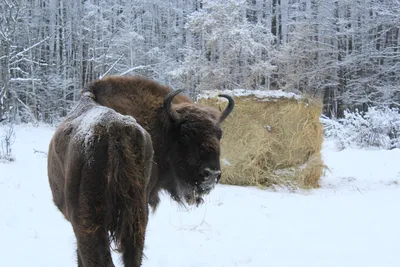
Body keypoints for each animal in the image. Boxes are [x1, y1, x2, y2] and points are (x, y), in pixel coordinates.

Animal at [47, 76, 234, 267]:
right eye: (185, 134)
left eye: (219, 134)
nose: (211, 174)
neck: (161, 127)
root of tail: (115, 130)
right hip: (136, 218)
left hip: (90, 224)